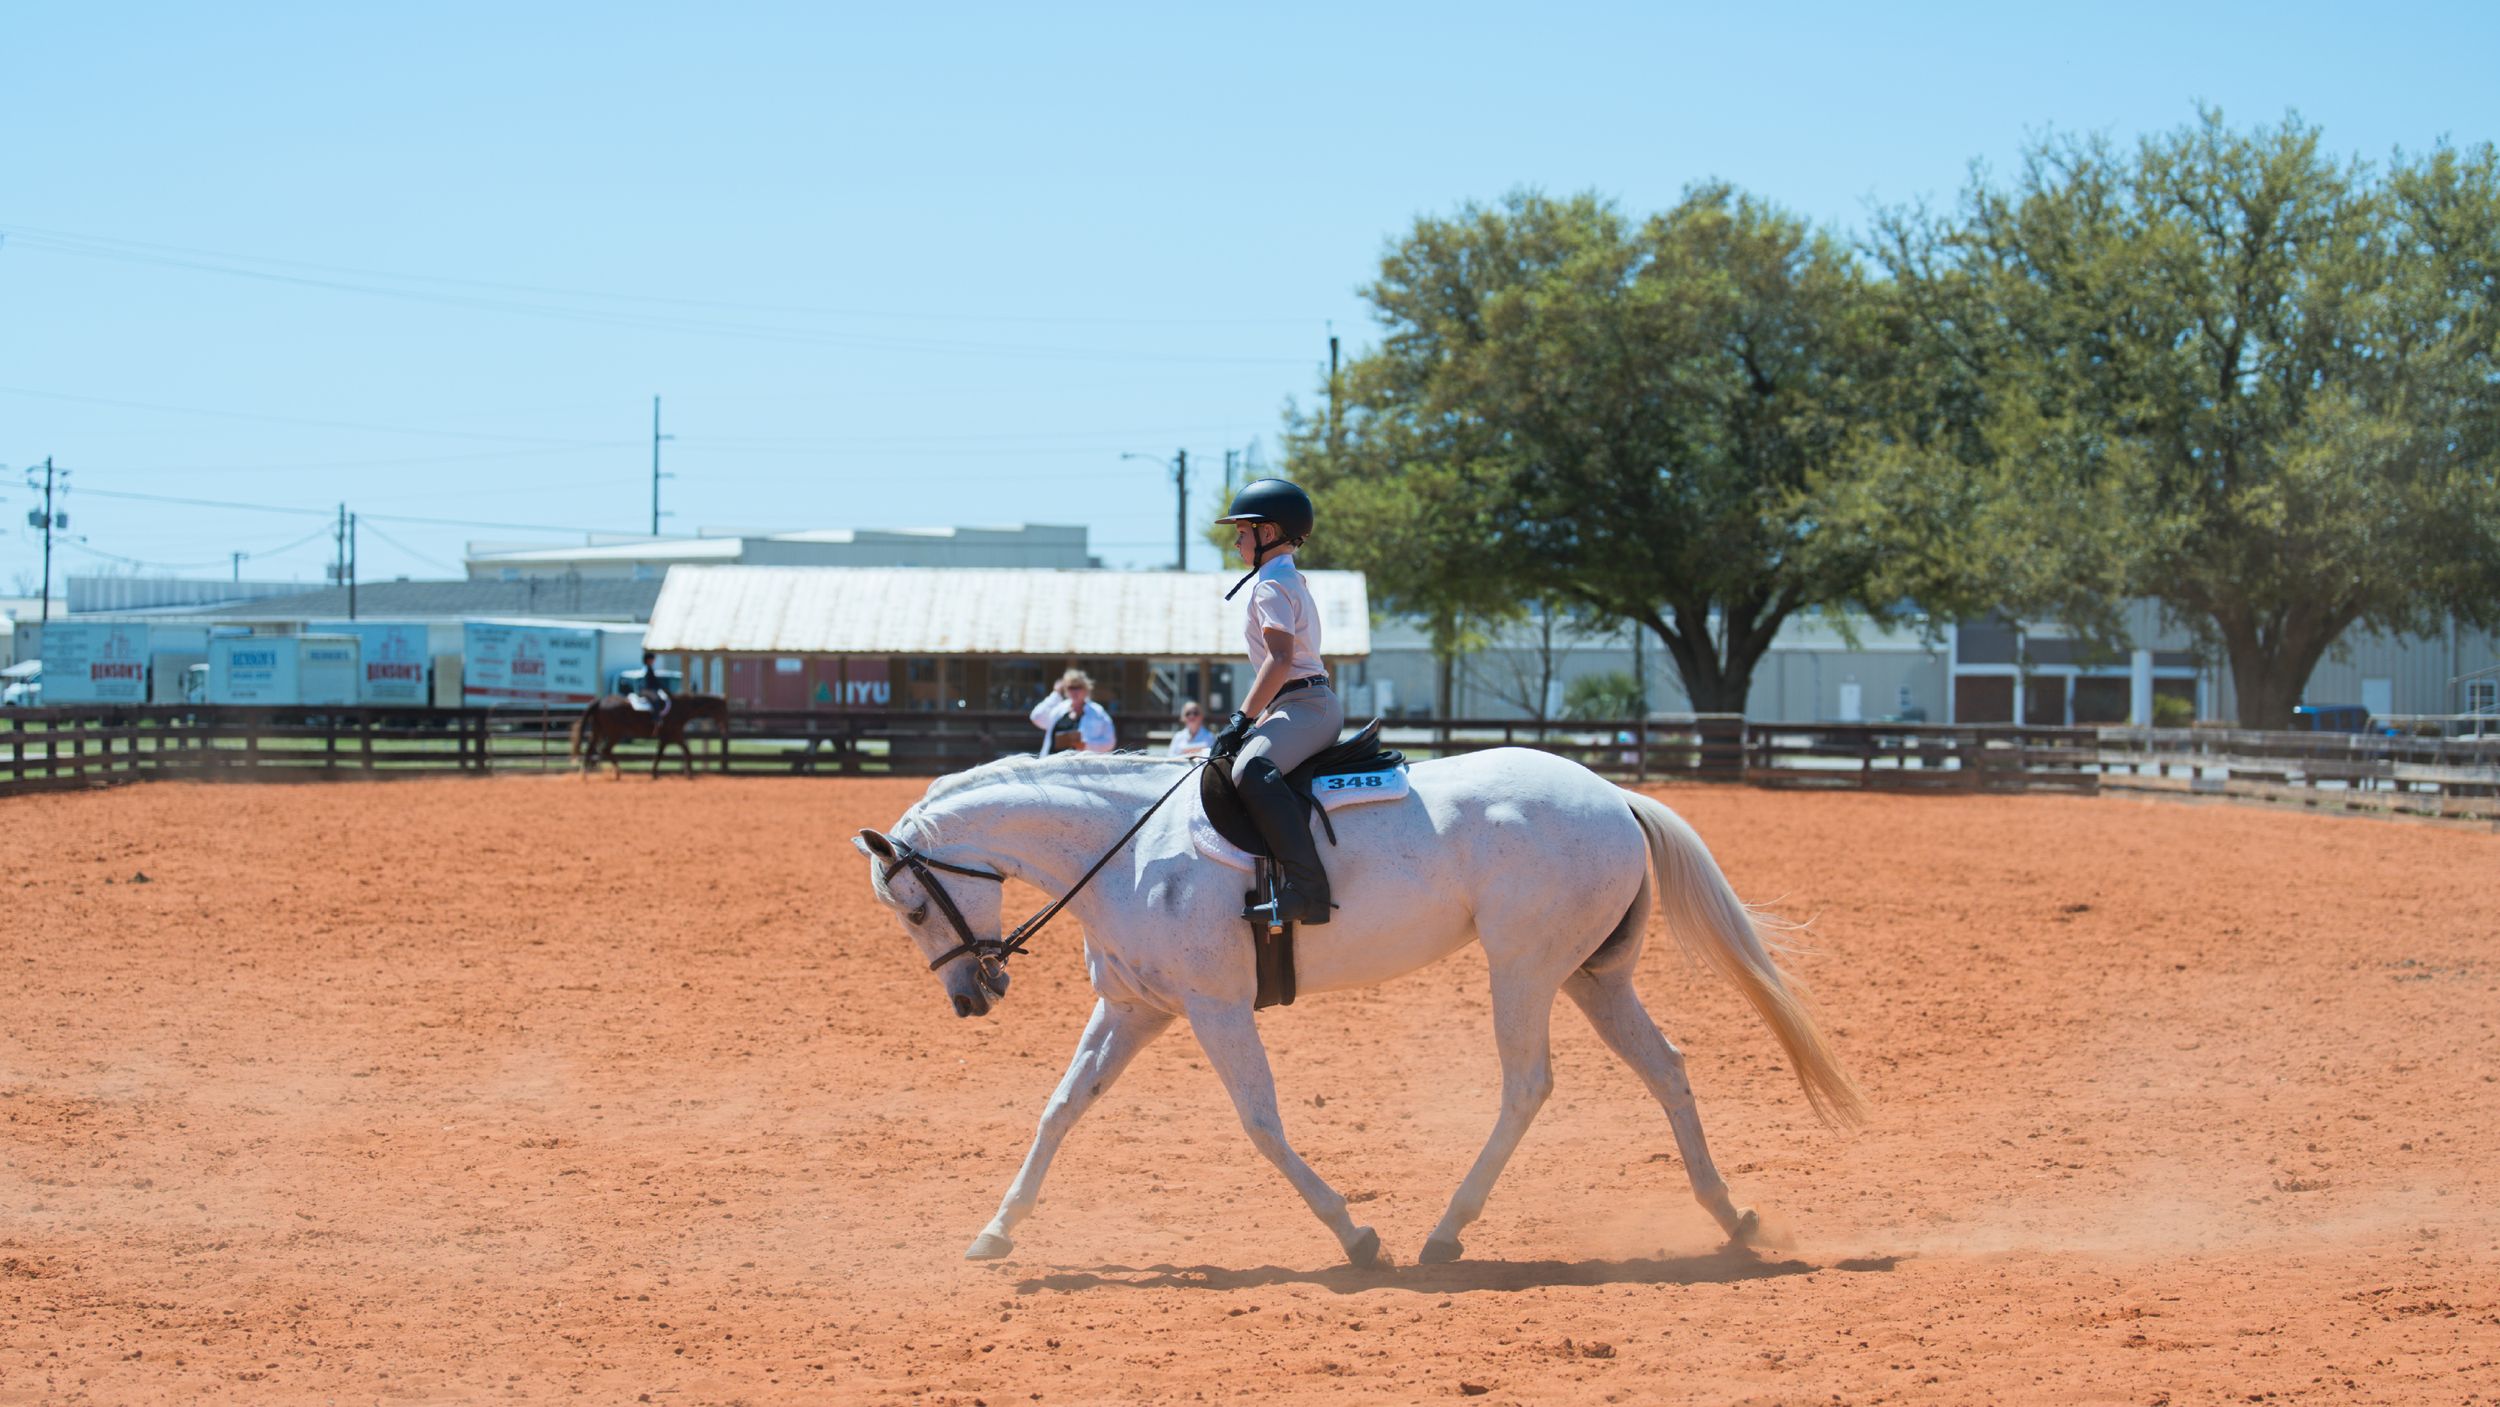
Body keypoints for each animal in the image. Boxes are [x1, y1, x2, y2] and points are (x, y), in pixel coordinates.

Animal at [568, 692, 731, 778]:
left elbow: (684, 752)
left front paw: (687, 773)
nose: (725, 729)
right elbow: (672, 753)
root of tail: (600, 701)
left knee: (592, 750)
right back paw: (615, 773)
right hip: (615, 732)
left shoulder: (672, 737)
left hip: (599, 731)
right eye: (722, 710)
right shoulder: (671, 736)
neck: (680, 709)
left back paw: (585, 775)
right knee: (605, 750)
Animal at [853, 746, 1867, 1268]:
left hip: (1525, 969)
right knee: (1665, 1069)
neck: (1128, 848)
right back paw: (1733, 1220)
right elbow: (1060, 1110)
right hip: (1593, 977)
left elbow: (1261, 1124)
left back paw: (1445, 1231)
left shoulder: (1216, 1010)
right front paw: (996, 1230)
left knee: (1527, 1086)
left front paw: (1356, 1234)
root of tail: (1614, 795)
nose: (971, 998)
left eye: (910, 906)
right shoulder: (1137, 1009)